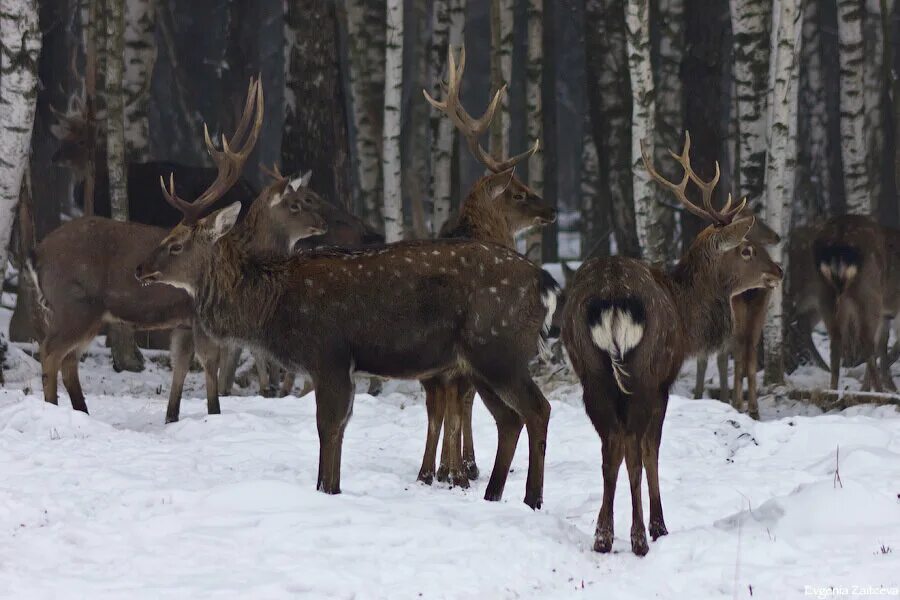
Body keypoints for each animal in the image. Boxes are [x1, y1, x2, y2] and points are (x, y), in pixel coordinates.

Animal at [414, 47, 556, 488]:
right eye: (519, 193)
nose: (551, 210)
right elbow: (464, 402)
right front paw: (462, 466)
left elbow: (452, 402)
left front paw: (448, 466)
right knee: (455, 399)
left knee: (436, 401)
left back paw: (431, 469)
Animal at [560, 134, 784, 556]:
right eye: (746, 249)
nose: (777, 271)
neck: (686, 310)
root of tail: (610, 298)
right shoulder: (666, 379)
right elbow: (651, 451)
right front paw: (659, 525)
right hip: (644, 367)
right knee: (632, 446)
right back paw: (638, 537)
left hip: (590, 369)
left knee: (610, 446)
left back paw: (602, 536)